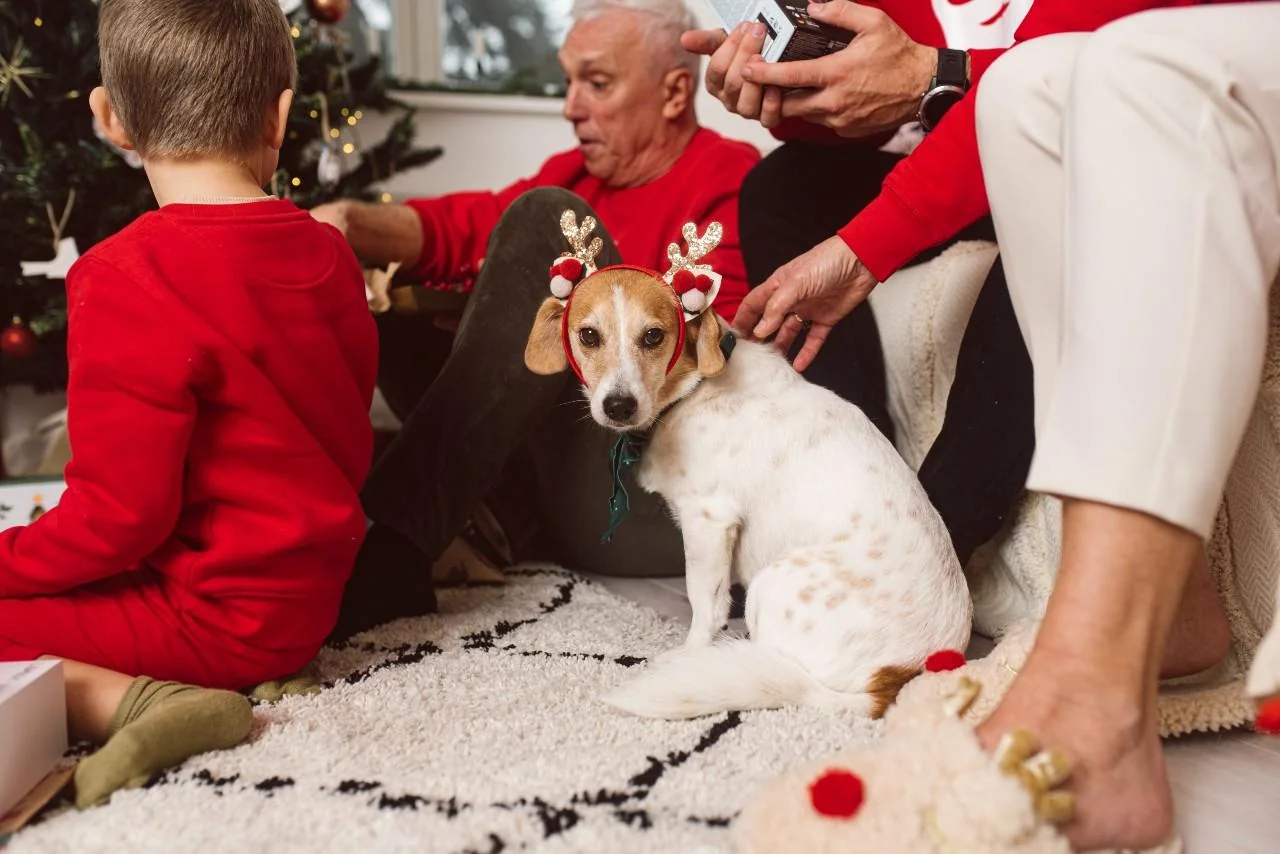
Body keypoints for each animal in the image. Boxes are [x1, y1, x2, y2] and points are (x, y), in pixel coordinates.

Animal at [519, 213, 967, 722]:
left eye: (654, 336)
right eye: (589, 336)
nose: (618, 406)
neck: (693, 390)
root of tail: (898, 679)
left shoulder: (708, 521)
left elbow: (705, 605)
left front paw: (692, 654)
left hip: (772, 585)